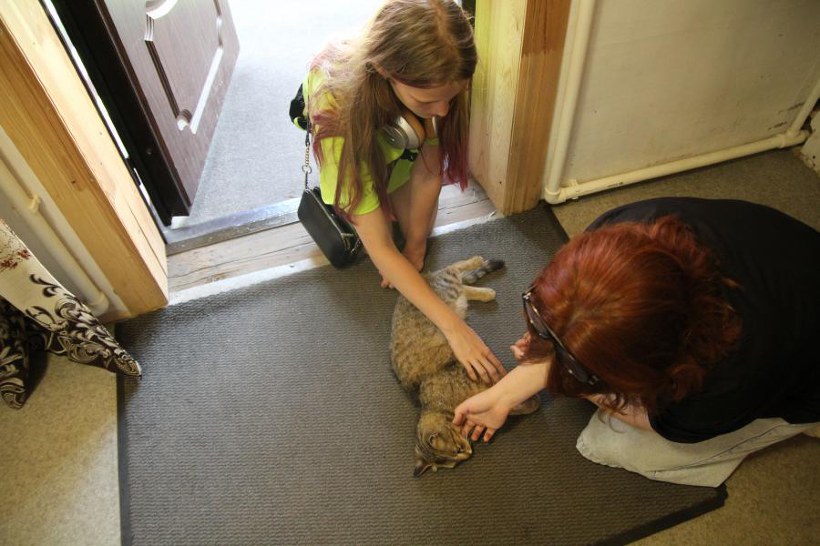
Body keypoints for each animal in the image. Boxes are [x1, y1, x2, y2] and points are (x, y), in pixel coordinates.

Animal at [389, 256, 541, 477]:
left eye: (458, 449)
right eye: (454, 463)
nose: (468, 453)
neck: (434, 405)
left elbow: (507, 390)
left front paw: (529, 400)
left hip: (447, 286)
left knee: (454, 269)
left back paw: (475, 261)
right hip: (455, 295)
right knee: (463, 286)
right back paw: (485, 292)